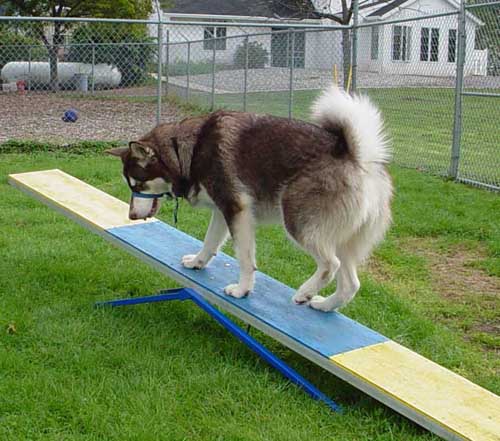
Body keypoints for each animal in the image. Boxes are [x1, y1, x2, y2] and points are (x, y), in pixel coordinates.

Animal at [106, 87, 394, 312]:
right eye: (131, 186)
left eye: (139, 184)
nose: (131, 216)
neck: (187, 150)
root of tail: (355, 156)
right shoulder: (223, 211)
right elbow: (210, 243)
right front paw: (198, 262)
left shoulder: (238, 210)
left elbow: (245, 259)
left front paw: (242, 290)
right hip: (342, 240)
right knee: (351, 284)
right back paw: (324, 305)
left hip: (299, 225)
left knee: (330, 265)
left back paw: (305, 292)